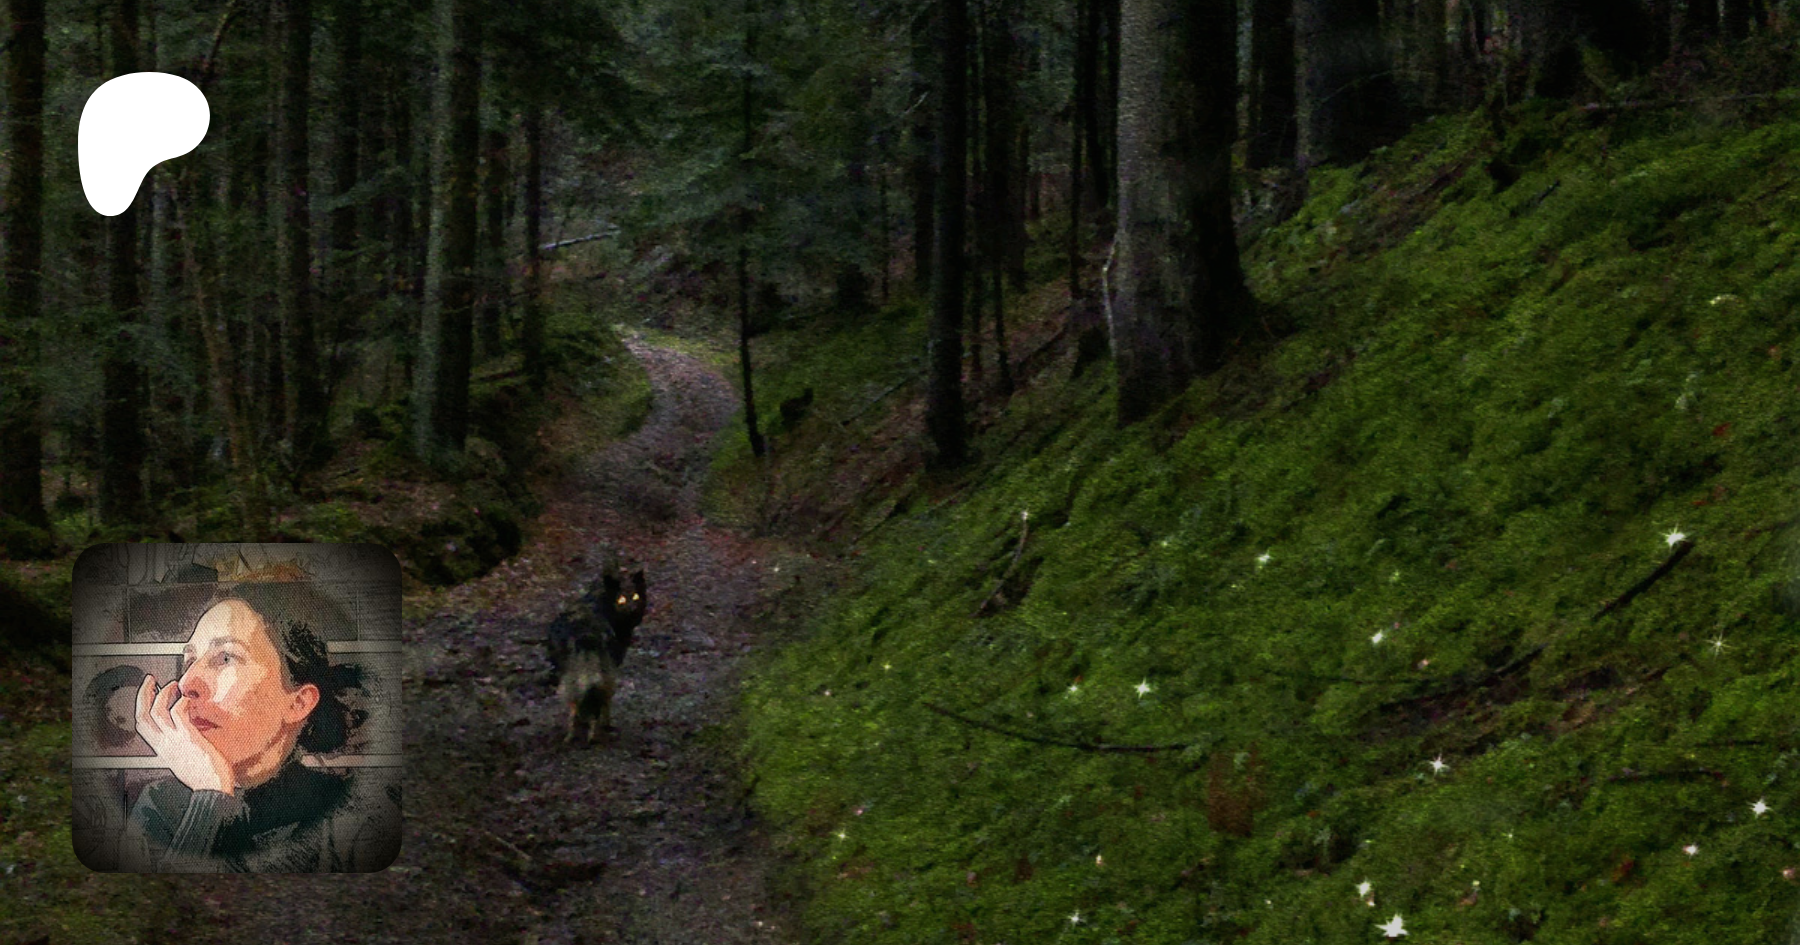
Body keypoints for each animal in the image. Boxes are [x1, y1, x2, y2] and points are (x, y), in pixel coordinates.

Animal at [546, 567, 648, 744]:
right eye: (621, 599)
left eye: (636, 596)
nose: (632, 609)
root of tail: (584, 634)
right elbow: (606, 705)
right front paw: (606, 724)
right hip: (605, 675)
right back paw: (594, 734)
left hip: (567, 674)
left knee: (574, 704)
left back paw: (571, 736)